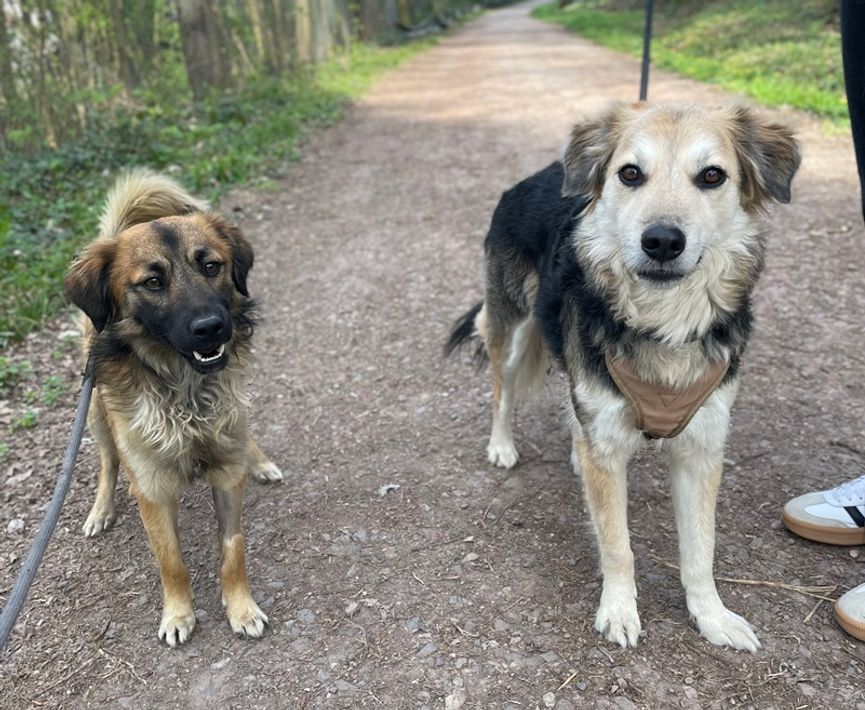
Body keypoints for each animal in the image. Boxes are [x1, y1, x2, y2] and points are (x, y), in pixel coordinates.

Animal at [65, 169, 283, 646]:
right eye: (152, 282)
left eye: (211, 266)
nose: (211, 328)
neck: (186, 390)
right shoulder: (152, 487)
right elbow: (171, 560)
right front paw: (178, 614)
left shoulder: (226, 472)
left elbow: (233, 549)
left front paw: (241, 608)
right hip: (96, 415)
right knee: (108, 462)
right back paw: (101, 510)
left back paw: (260, 461)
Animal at [447, 102, 800, 651]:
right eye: (630, 173)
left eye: (712, 176)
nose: (662, 241)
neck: (663, 323)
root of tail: (537, 176)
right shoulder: (610, 444)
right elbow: (617, 545)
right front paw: (618, 610)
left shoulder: (702, 444)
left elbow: (700, 548)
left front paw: (712, 617)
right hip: (514, 325)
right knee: (502, 389)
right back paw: (502, 445)